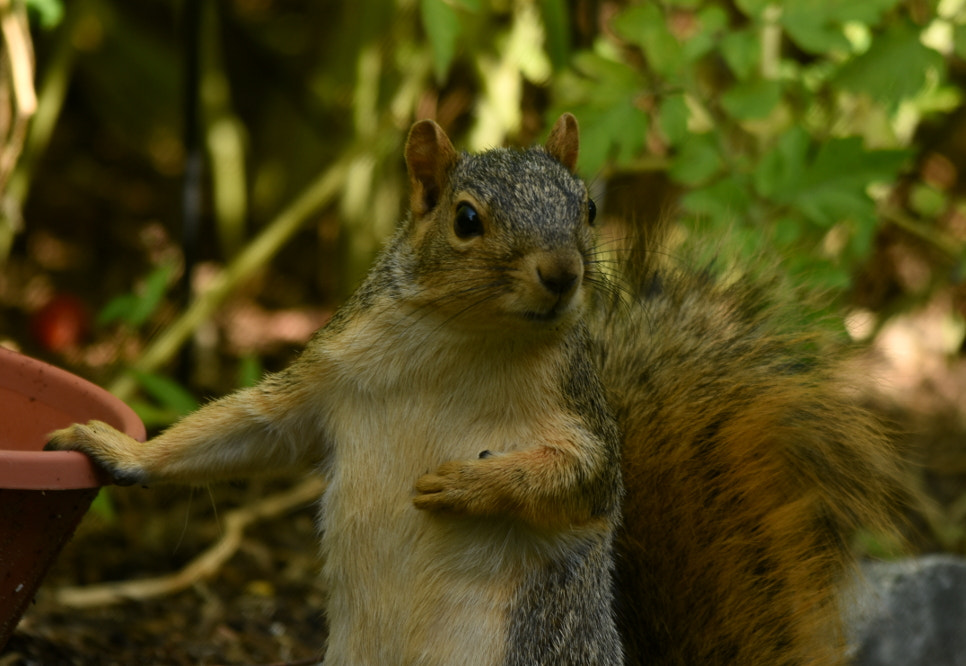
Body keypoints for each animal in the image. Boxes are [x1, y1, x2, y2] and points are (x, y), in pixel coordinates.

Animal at [43, 111, 908, 660]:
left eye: (588, 208)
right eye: (465, 220)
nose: (562, 273)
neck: (461, 345)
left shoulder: (578, 416)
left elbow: (585, 479)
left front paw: (467, 484)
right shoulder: (329, 379)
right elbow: (245, 429)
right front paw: (119, 450)